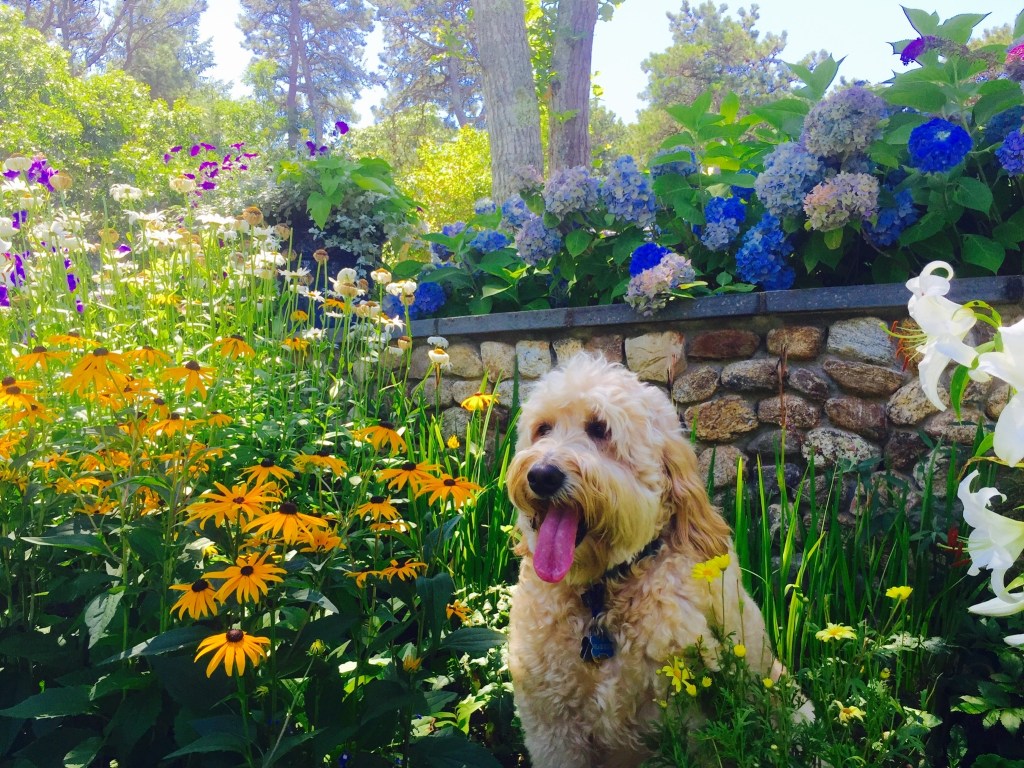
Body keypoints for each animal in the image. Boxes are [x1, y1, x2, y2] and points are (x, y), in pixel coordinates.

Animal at [506, 354, 791, 767]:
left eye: (600, 429)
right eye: (542, 429)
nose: (542, 475)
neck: (601, 592)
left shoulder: (688, 721)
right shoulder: (551, 726)